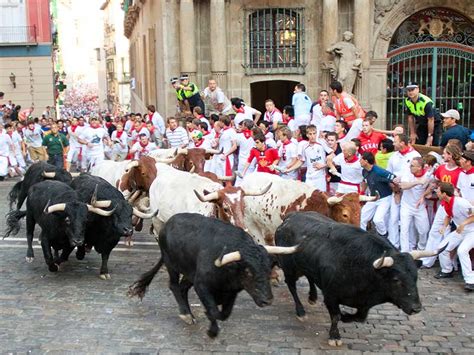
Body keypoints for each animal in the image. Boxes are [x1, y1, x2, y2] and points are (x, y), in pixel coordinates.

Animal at [274, 211, 444, 348]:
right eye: (396, 279)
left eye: (416, 277)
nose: (416, 308)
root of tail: (290, 217)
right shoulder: (331, 296)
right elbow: (335, 316)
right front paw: (334, 336)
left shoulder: (364, 303)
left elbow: (359, 317)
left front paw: (345, 316)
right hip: (289, 267)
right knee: (291, 286)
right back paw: (301, 311)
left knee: (309, 277)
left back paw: (312, 297)